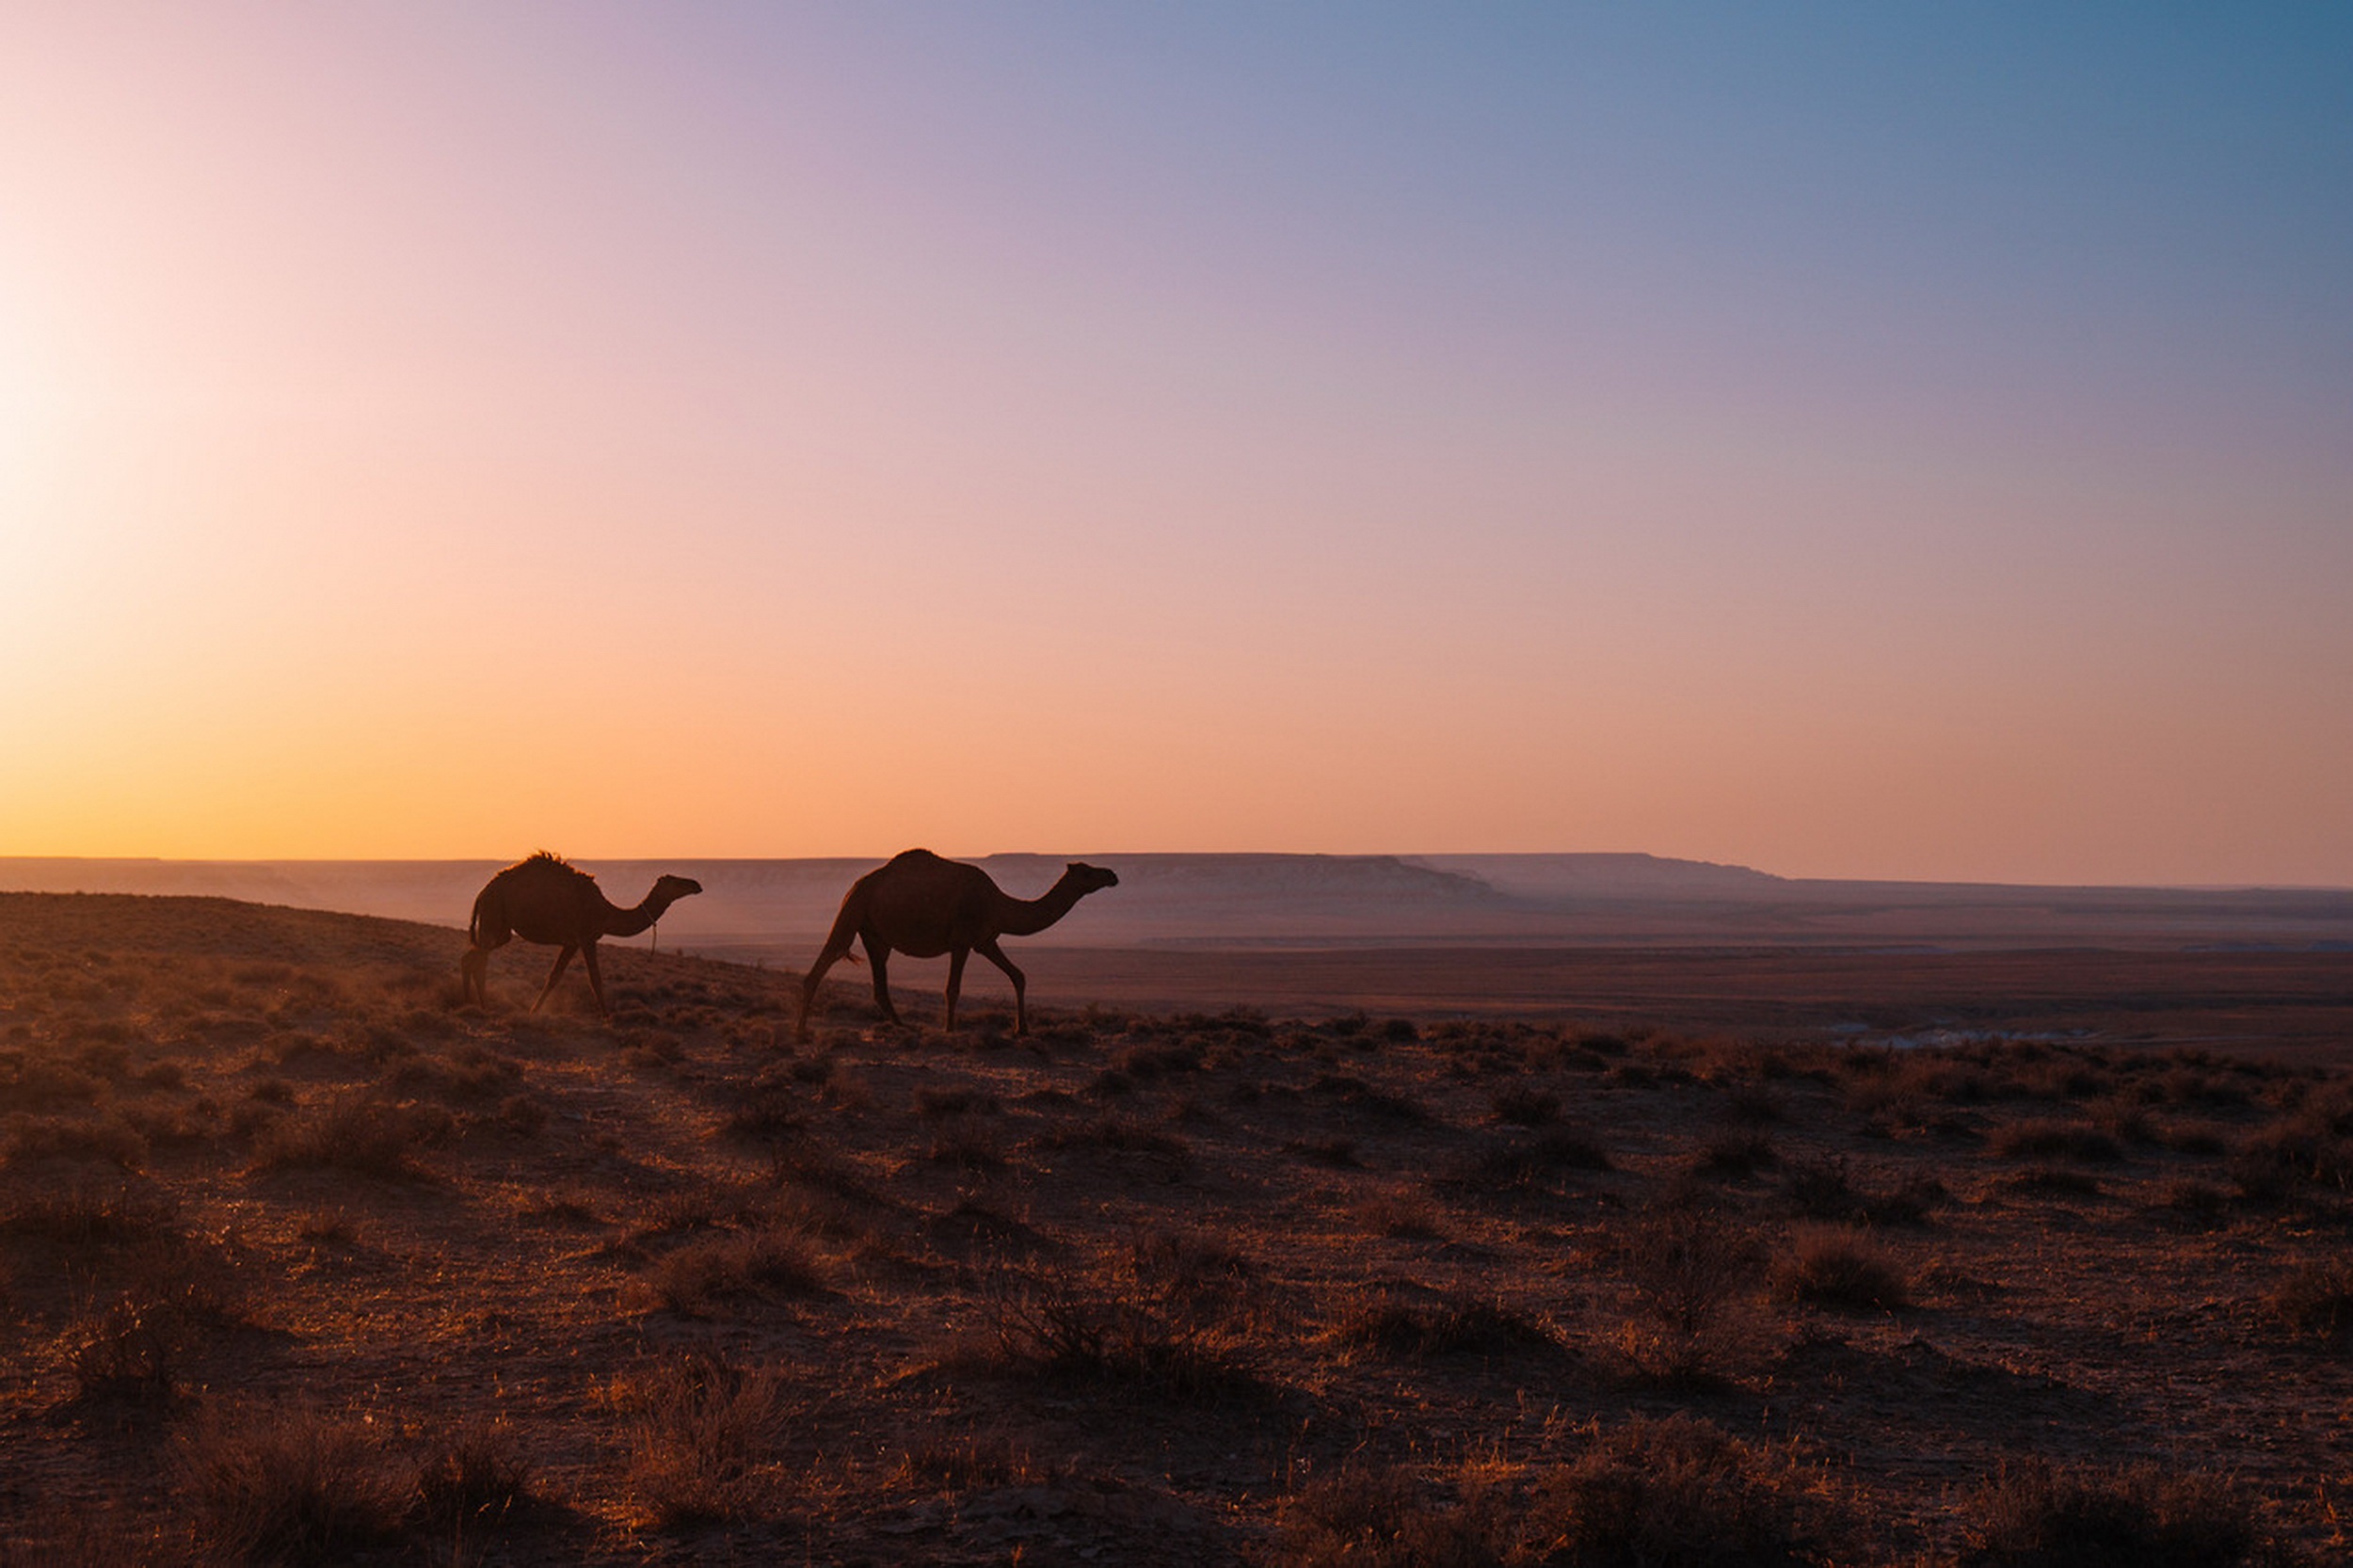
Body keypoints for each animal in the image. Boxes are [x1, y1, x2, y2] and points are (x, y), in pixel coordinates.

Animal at [456, 856, 696, 1012]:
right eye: (676, 881)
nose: (696, 884)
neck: (605, 912)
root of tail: (483, 892)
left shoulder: (572, 942)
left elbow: (554, 976)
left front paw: (533, 1011)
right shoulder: (587, 937)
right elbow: (595, 978)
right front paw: (608, 1017)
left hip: (501, 927)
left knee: (472, 957)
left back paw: (470, 1003)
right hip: (493, 915)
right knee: (477, 960)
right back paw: (482, 1006)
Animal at [795, 842, 1115, 1035]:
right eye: (1087, 873)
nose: (1112, 874)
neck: (999, 903)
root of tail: (857, 885)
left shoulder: (985, 940)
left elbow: (1018, 975)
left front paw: (1022, 1029)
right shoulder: (962, 940)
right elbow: (953, 988)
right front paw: (950, 1029)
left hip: (875, 934)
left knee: (879, 984)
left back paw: (905, 1026)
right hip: (853, 911)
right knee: (828, 957)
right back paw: (800, 1034)